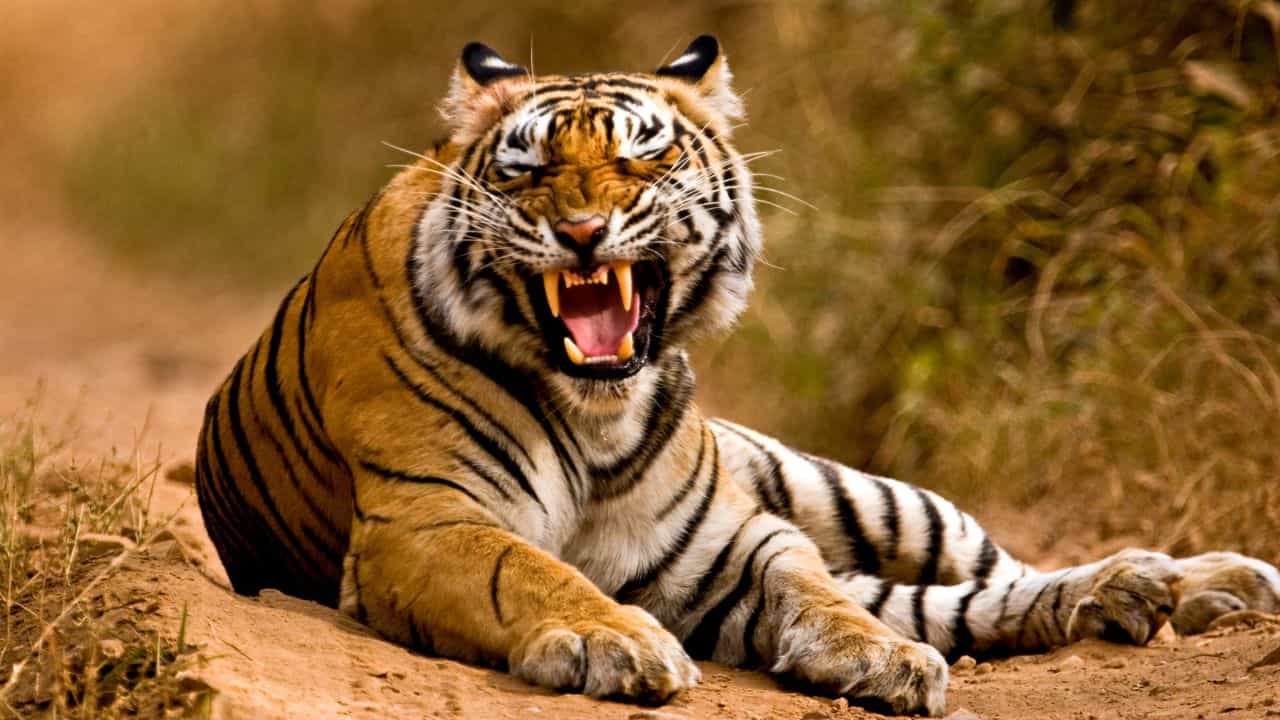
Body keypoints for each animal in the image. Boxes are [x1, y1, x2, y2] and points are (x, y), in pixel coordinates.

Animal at [194, 36, 1280, 716]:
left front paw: (877, 658)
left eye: (642, 159)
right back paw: (1151, 597)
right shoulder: (423, 521)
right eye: (526, 170)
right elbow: (530, 568)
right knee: (957, 601)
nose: (580, 230)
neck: (596, 415)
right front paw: (618, 641)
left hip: (858, 492)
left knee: (986, 573)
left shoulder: (729, 539)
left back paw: (1191, 582)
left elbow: (813, 588)